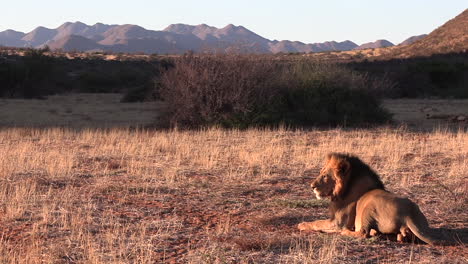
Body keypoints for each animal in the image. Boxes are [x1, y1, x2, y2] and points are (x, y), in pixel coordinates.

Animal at [300, 153, 450, 245]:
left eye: (325, 176)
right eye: (320, 173)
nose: (312, 186)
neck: (347, 186)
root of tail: (408, 214)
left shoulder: (338, 222)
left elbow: (316, 222)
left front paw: (301, 224)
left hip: (369, 207)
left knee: (363, 232)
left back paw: (349, 232)